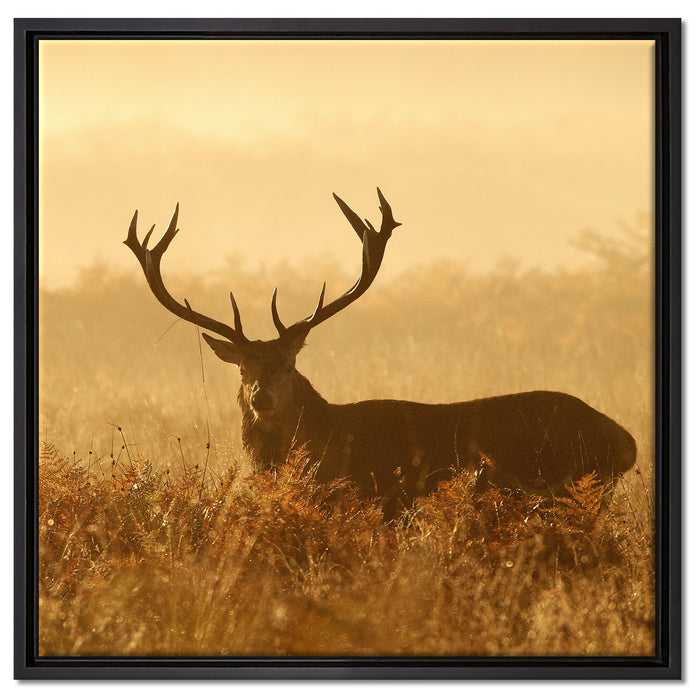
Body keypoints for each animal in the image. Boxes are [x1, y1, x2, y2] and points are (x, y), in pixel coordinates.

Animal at [125, 188, 637, 519]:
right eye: (243, 369)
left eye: (289, 365)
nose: (261, 397)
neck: (324, 441)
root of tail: (626, 442)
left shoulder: (379, 499)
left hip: (568, 490)